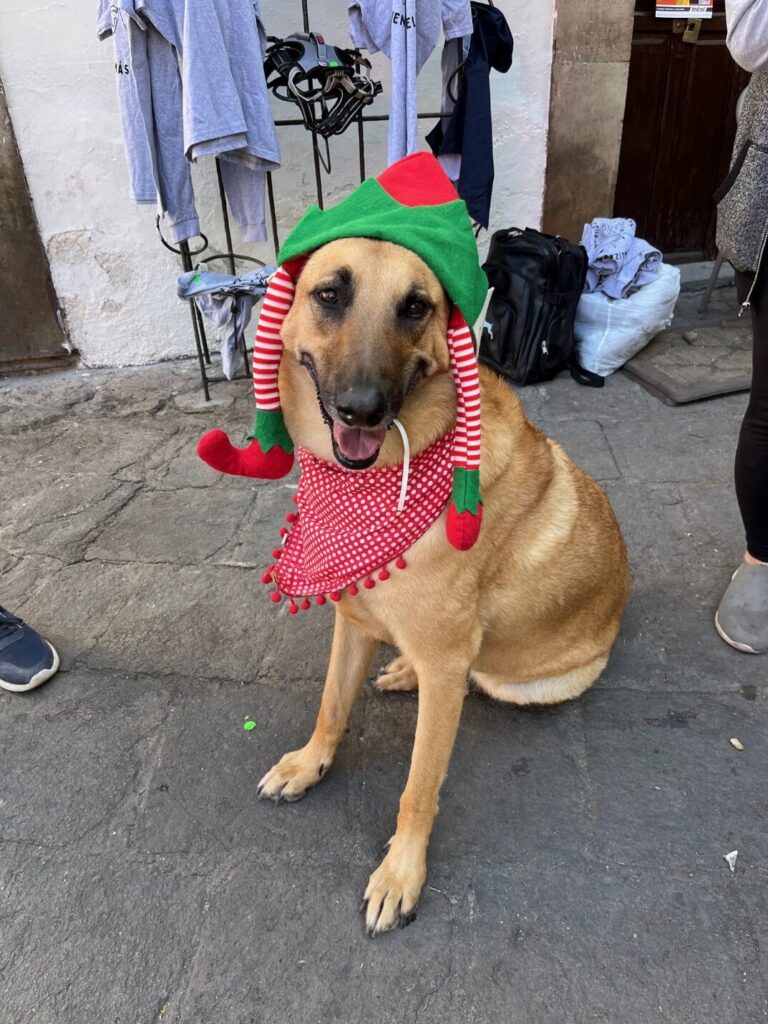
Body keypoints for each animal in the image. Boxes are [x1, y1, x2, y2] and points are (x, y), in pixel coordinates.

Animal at [259, 237, 630, 937]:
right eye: (329, 294)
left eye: (415, 307)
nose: (362, 408)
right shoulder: (353, 621)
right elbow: (331, 706)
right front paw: (309, 761)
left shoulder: (441, 661)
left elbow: (419, 787)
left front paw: (401, 873)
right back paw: (404, 670)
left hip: (522, 679)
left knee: (479, 679)